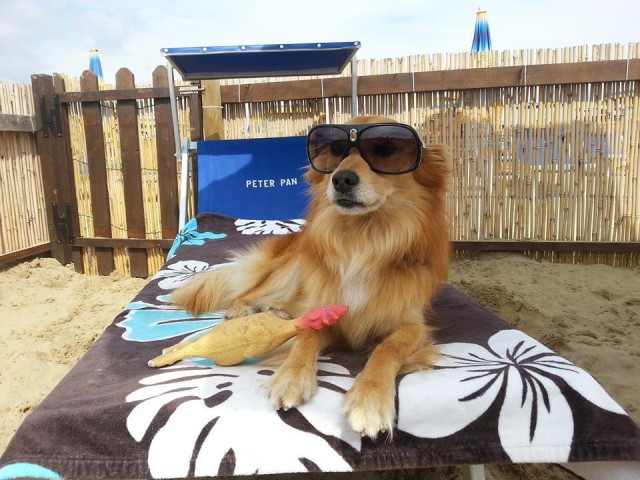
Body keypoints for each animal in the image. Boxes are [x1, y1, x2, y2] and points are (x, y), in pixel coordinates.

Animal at [170, 115, 450, 438]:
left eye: (385, 149)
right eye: (336, 150)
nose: (341, 178)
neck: (363, 240)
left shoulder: (413, 326)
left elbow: (387, 348)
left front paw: (370, 395)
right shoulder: (324, 310)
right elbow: (306, 332)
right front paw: (292, 375)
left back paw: (276, 310)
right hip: (290, 268)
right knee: (250, 291)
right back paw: (244, 309)